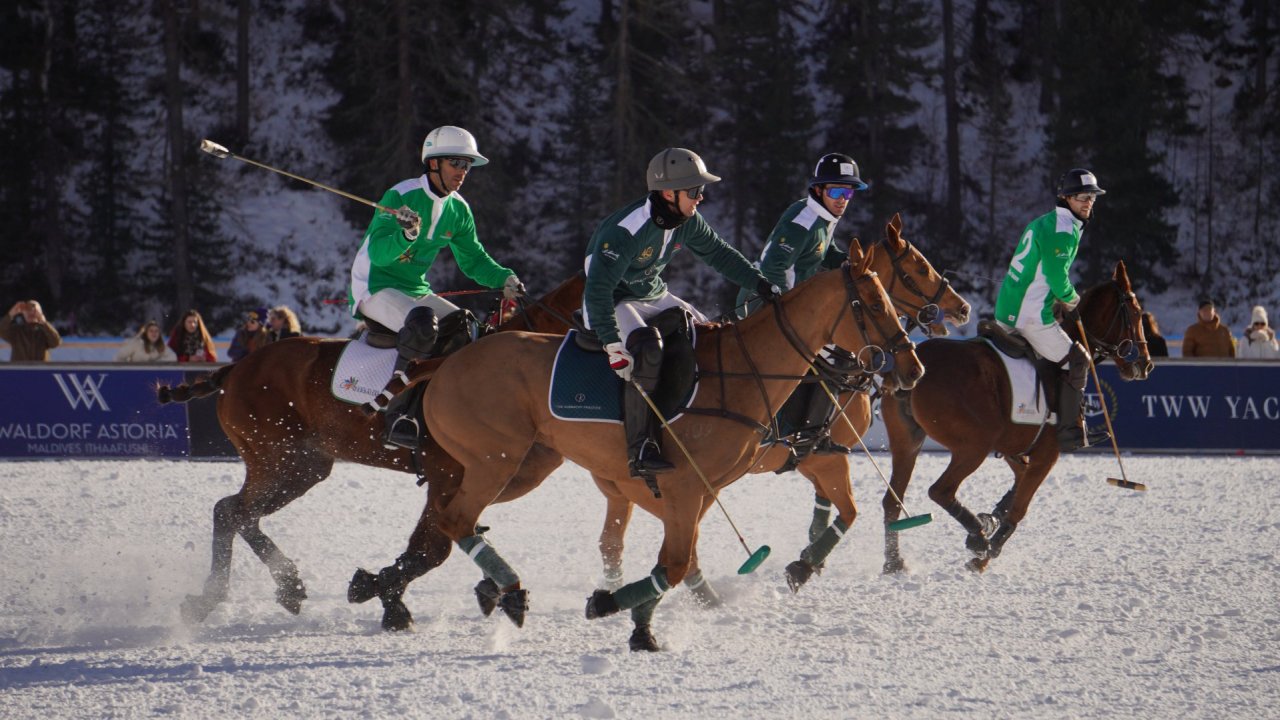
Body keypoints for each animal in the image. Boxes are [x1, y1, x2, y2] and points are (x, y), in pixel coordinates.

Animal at [154, 271, 586, 620]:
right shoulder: (446, 478)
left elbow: (436, 542)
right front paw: (381, 596)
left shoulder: (478, 481)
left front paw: (396, 596)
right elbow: (432, 548)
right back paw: (242, 593)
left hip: (305, 466)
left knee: (235, 512)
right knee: (232, 512)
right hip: (277, 458)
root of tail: (234, 369)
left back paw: (271, 589)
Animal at [366, 240, 926, 650]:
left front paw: (637, 619)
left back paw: (451, 588)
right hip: (494, 460)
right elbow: (675, 563)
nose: (913, 369)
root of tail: (444, 363)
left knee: (449, 521)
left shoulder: (697, 489)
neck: (745, 371)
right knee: (453, 520)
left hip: (514, 466)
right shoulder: (690, 485)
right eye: (872, 304)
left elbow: (680, 559)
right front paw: (622, 614)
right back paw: (502, 591)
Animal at [588, 211, 967, 594]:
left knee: (620, 536)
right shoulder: (823, 456)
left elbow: (827, 511)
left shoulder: (814, 457)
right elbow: (845, 512)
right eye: (920, 267)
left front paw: (813, 562)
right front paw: (804, 566)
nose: (962, 309)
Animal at [880, 258, 1152, 571]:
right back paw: (978, 538)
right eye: (1136, 313)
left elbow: (1017, 483)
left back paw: (894, 562)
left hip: (908, 441)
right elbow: (1020, 507)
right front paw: (985, 554)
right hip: (974, 445)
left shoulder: (1013, 446)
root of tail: (916, 367)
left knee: (892, 500)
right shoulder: (1047, 454)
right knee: (940, 490)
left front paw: (991, 518)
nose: (1146, 364)